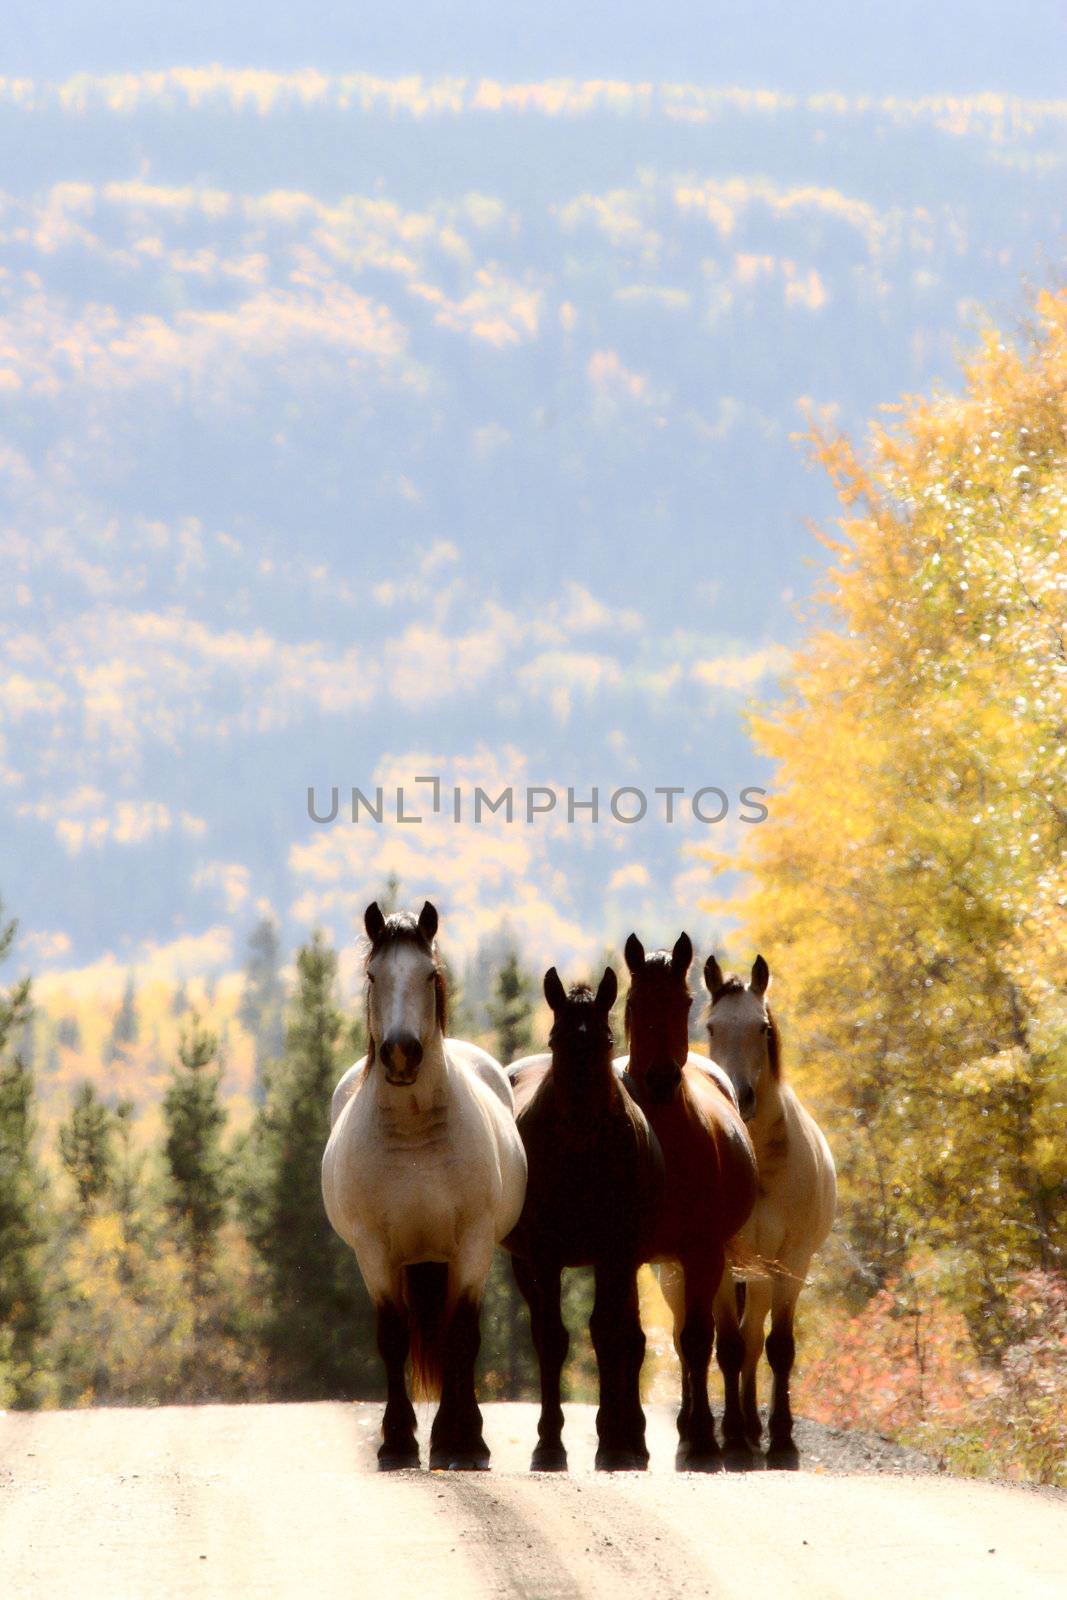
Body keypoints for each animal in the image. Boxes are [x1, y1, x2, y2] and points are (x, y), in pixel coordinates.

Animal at [323, 902, 527, 1472]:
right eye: (374, 976)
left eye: (429, 974)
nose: (399, 1053)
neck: (414, 1135)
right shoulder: (374, 1252)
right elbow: (393, 1338)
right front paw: (396, 1443)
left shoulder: (473, 1246)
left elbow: (461, 1338)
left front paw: (466, 1443)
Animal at [505, 960, 662, 1472]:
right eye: (556, 1041)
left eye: (606, 1041)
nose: (579, 1123)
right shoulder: (543, 1254)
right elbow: (552, 1339)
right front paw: (548, 1445)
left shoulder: (615, 1252)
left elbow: (609, 1334)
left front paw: (614, 1443)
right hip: (522, 1262)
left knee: (623, 1335)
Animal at [620, 934, 764, 1465]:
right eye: (634, 1003)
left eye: (684, 1003)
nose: (661, 1079)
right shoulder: (624, 1256)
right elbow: (629, 1340)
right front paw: (628, 1439)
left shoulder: (703, 1254)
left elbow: (699, 1340)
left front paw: (701, 1440)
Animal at [703, 953, 838, 1465]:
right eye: (711, 1027)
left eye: (761, 1027)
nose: (738, 1096)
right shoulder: (720, 1261)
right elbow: (728, 1347)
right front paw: (733, 1442)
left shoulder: (790, 1262)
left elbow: (777, 1348)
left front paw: (781, 1441)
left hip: (761, 1277)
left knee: (755, 1339)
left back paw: (753, 1429)